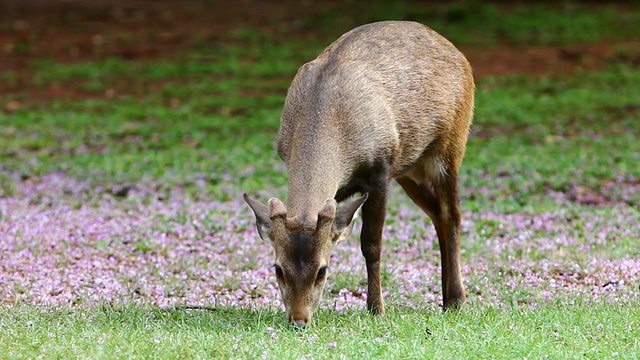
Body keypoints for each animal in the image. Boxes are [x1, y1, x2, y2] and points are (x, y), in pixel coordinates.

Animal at [245, 21, 476, 328]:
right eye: (278, 269)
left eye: (322, 271)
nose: (298, 320)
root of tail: (457, 52)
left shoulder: (380, 168)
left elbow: (371, 243)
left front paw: (376, 309)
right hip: (410, 168)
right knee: (437, 213)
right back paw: (448, 299)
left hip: (451, 144)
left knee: (452, 214)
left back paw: (457, 300)